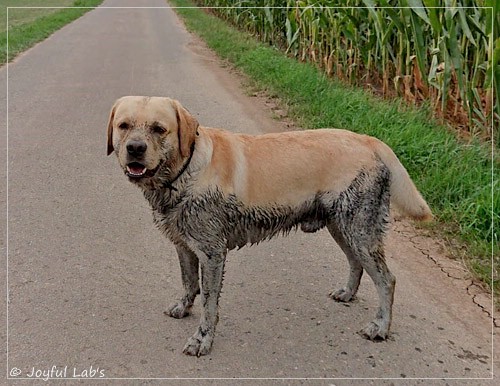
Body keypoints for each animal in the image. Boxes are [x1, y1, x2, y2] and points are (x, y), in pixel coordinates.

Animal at [107, 95, 432, 356]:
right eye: (124, 126)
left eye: (159, 129)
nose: (135, 149)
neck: (186, 172)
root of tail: (367, 139)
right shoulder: (184, 247)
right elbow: (189, 284)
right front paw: (183, 307)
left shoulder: (212, 254)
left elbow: (209, 304)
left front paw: (202, 340)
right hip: (341, 228)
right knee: (356, 263)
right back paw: (347, 293)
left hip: (360, 231)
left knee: (386, 280)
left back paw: (381, 327)